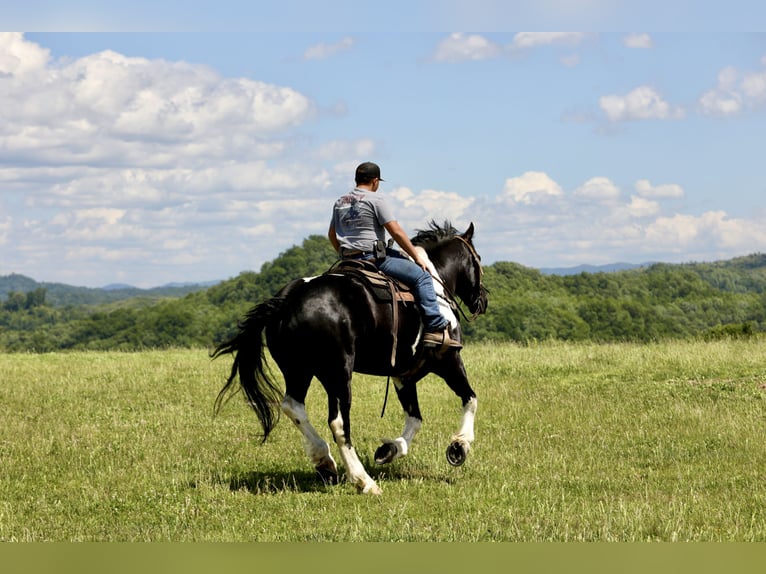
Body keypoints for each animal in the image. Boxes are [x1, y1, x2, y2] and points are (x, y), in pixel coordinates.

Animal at [212, 221, 488, 494]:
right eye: (478, 259)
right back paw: (363, 480)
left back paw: (325, 462)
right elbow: (470, 398)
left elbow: (415, 419)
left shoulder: (403, 376)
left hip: (300, 371)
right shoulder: (448, 360)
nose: (483, 300)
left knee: (293, 407)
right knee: (338, 423)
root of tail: (288, 301)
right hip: (338, 373)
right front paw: (459, 446)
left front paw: (389, 450)